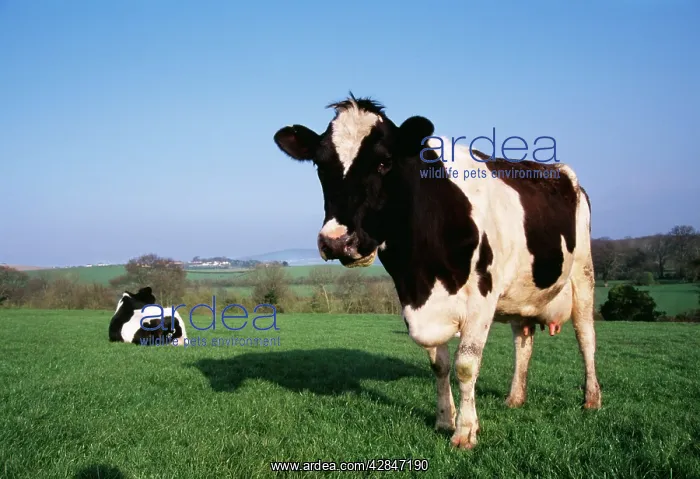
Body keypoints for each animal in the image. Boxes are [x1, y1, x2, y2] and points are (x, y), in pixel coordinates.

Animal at [273, 94, 601, 449]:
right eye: (321, 166)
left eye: (384, 162)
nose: (336, 241)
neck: (421, 269)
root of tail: (563, 174)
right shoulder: (417, 300)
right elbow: (439, 365)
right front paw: (445, 419)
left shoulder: (481, 297)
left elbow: (466, 365)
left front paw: (465, 431)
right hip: (522, 293)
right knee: (523, 341)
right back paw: (515, 398)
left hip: (583, 273)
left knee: (586, 337)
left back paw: (591, 399)